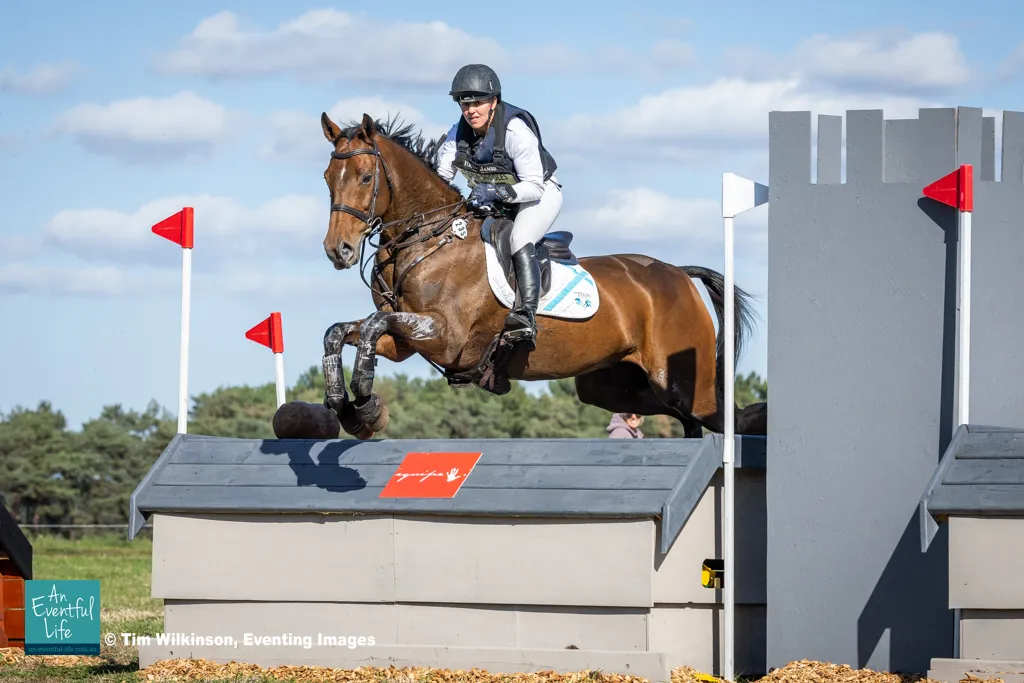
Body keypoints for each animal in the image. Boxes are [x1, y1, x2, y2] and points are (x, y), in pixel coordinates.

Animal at [272, 112, 764, 441]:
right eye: (327, 177)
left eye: (365, 176)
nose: (338, 250)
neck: (428, 238)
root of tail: (678, 274)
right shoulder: (408, 342)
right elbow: (341, 333)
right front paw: (351, 409)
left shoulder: (447, 337)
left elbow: (373, 326)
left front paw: (366, 404)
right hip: (615, 386)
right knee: (680, 419)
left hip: (681, 381)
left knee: (723, 416)